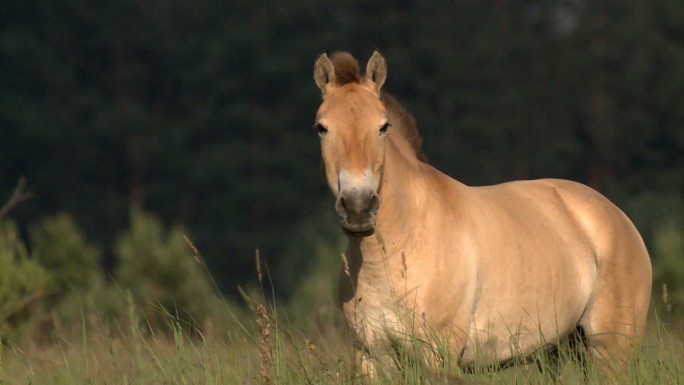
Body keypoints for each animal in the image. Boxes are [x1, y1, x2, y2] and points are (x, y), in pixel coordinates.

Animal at [310, 48, 652, 378]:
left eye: (383, 127)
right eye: (322, 128)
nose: (358, 207)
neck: (400, 246)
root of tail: (619, 218)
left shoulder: (438, 356)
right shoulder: (370, 357)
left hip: (610, 353)